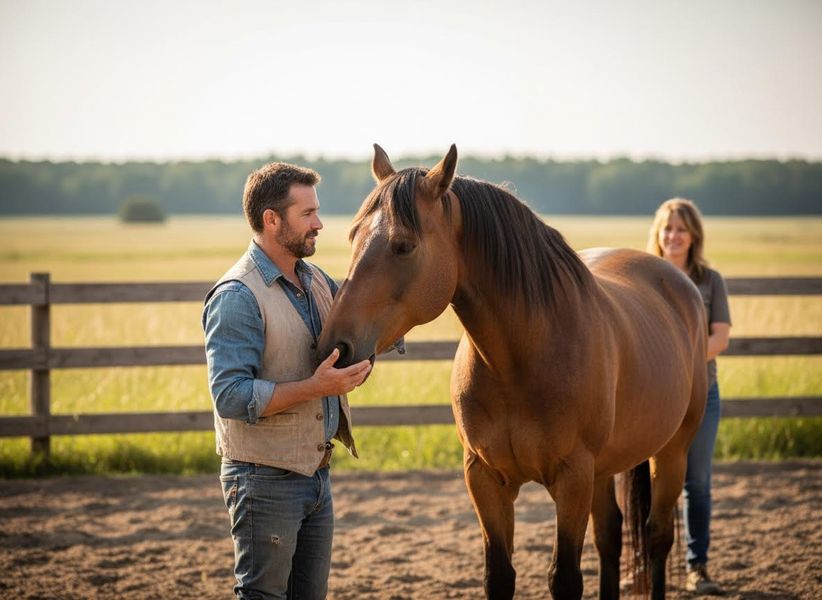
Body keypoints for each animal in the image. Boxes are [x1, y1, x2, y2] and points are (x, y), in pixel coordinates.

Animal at [317, 144, 708, 599]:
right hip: (604, 468)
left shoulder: (573, 478)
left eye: (402, 245)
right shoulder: (485, 478)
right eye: (353, 237)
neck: (519, 362)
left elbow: (565, 577)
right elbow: (499, 575)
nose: (334, 347)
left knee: (658, 536)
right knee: (610, 536)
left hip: (672, 451)